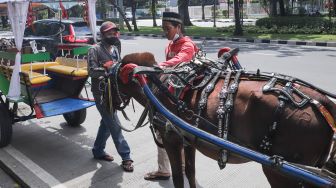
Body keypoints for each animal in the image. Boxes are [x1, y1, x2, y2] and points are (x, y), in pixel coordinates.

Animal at [116, 51, 336, 188]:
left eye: (110, 74)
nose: (112, 105)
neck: (157, 82)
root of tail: (321, 101)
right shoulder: (187, 140)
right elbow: (190, 172)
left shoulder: (171, 138)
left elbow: (178, 177)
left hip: (281, 173)